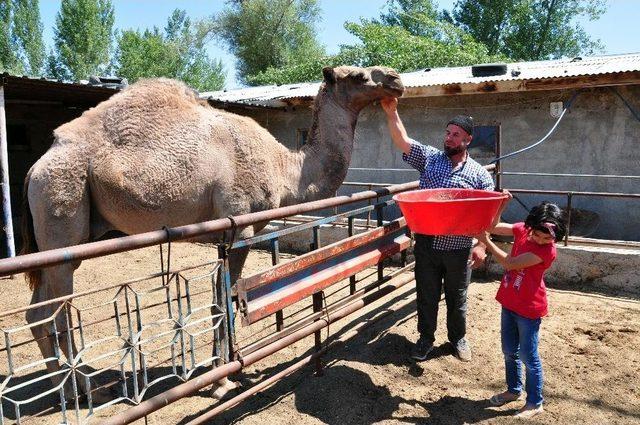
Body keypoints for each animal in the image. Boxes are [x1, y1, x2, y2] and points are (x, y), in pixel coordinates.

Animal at [21, 65, 404, 400]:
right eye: (358, 75)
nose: (396, 80)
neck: (285, 169)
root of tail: (34, 169)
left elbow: (220, 300)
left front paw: (219, 373)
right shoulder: (239, 225)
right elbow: (224, 301)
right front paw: (223, 380)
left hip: (63, 236)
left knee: (37, 314)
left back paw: (66, 389)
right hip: (61, 201)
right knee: (59, 313)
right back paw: (86, 390)